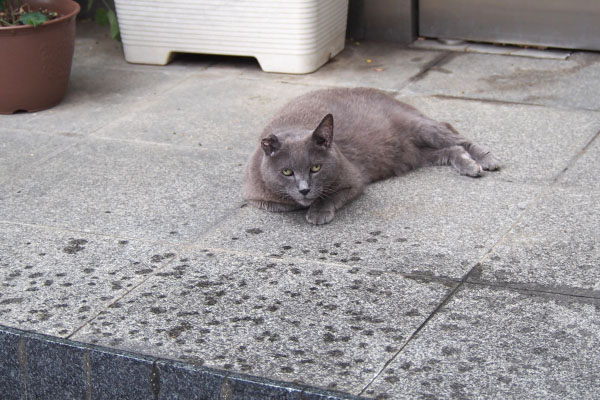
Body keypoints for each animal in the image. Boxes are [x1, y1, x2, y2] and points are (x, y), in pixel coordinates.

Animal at [241, 88, 500, 225]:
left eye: (316, 168)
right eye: (286, 171)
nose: (304, 189)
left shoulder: (354, 181)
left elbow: (329, 196)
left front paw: (318, 211)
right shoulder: (258, 199)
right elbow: (283, 204)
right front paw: (304, 203)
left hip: (419, 127)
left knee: (456, 137)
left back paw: (486, 161)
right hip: (414, 155)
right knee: (452, 150)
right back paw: (468, 165)